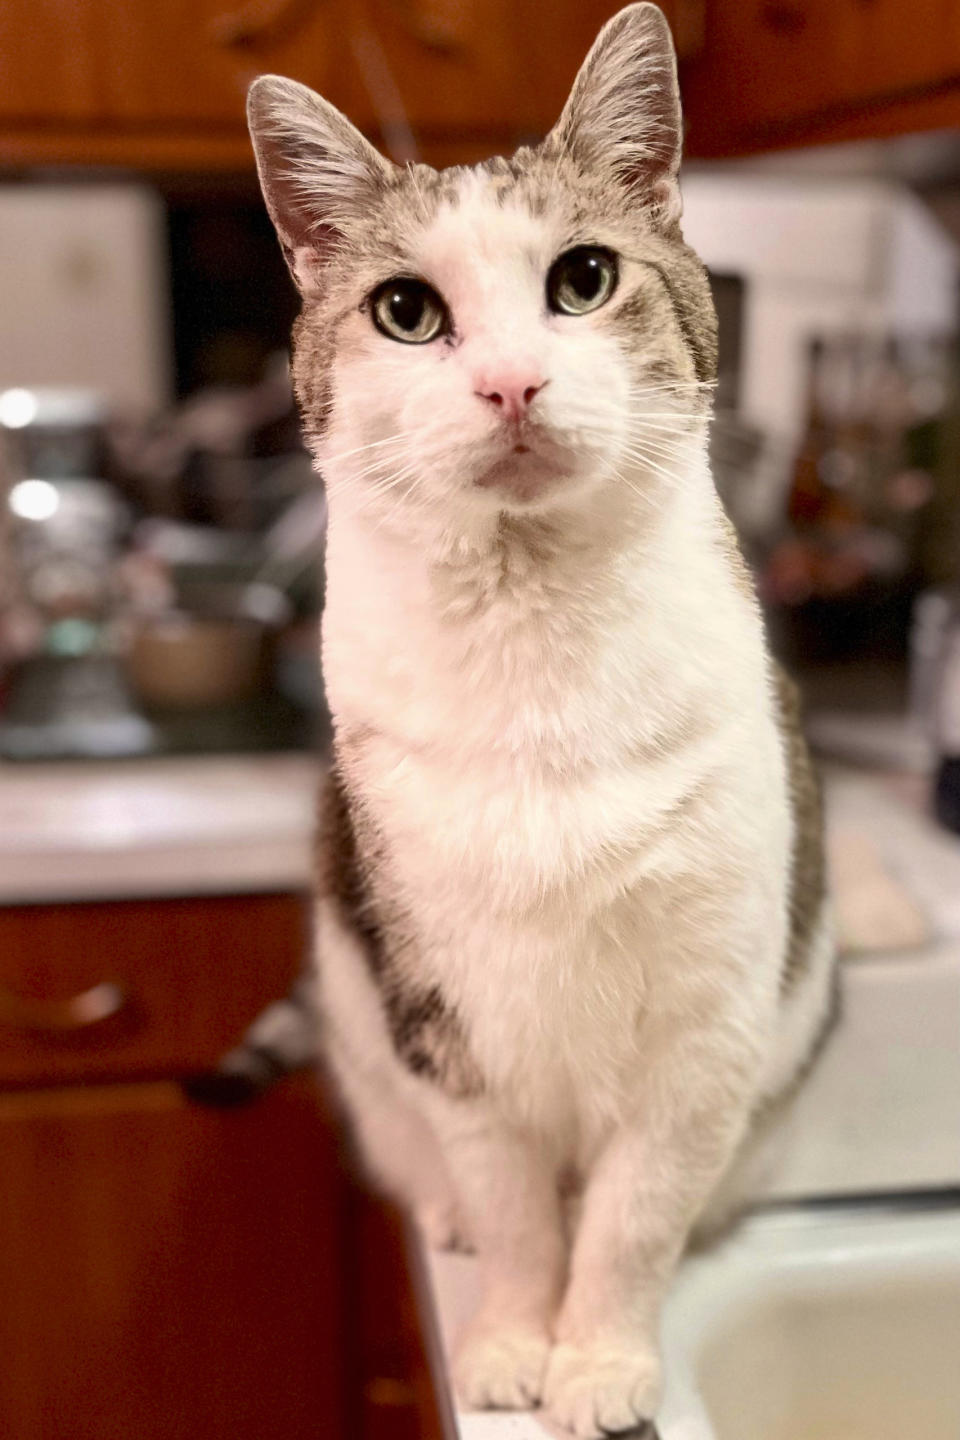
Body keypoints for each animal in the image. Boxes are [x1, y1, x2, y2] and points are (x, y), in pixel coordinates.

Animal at [250, 5, 840, 1434]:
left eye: (582, 279)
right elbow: (521, 1213)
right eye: (407, 311)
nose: (512, 383)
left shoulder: (705, 1032)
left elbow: (628, 1224)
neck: (534, 655)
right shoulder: (443, 1025)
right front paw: (515, 1341)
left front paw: (602, 1360)